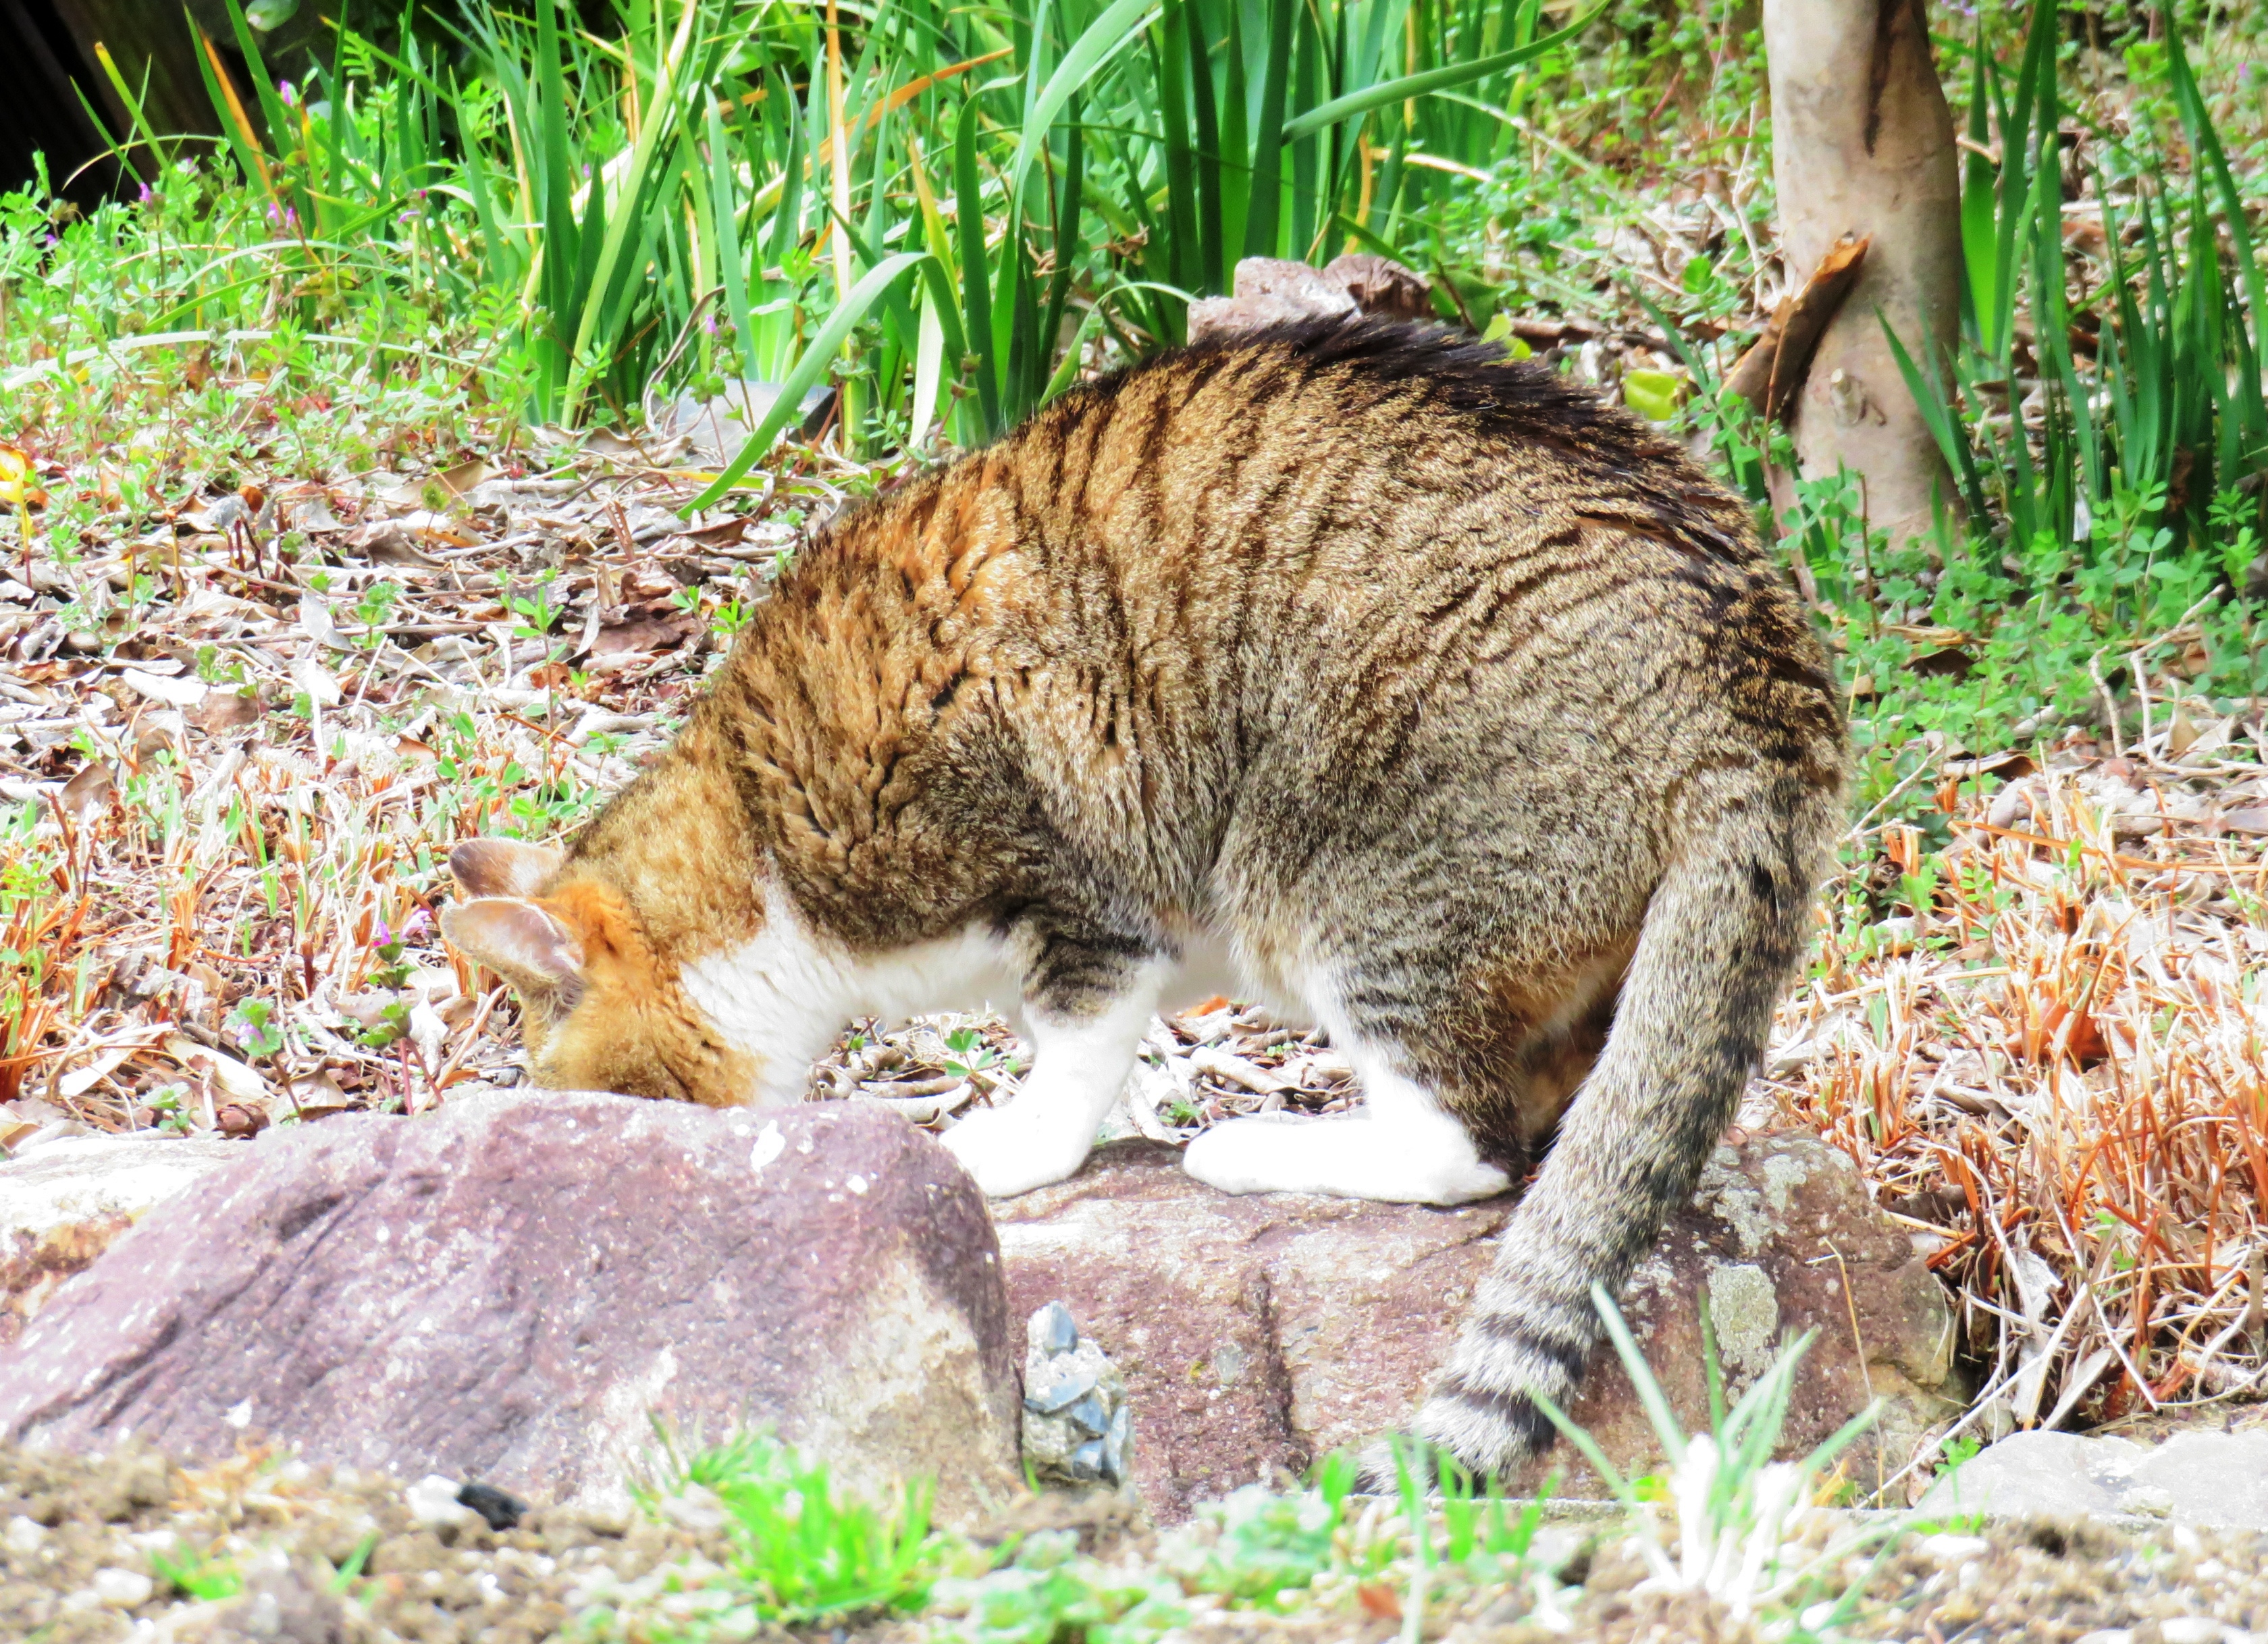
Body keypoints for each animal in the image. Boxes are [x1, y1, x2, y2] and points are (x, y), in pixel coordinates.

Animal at [442, 317, 1841, 1478]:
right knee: (1553, 1113)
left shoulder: (1076, 886)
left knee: (1468, 1145)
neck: (761, 841)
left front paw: (996, 1150)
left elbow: (1068, 1060)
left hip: (1343, 881)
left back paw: (1254, 1146)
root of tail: (1754, 698)